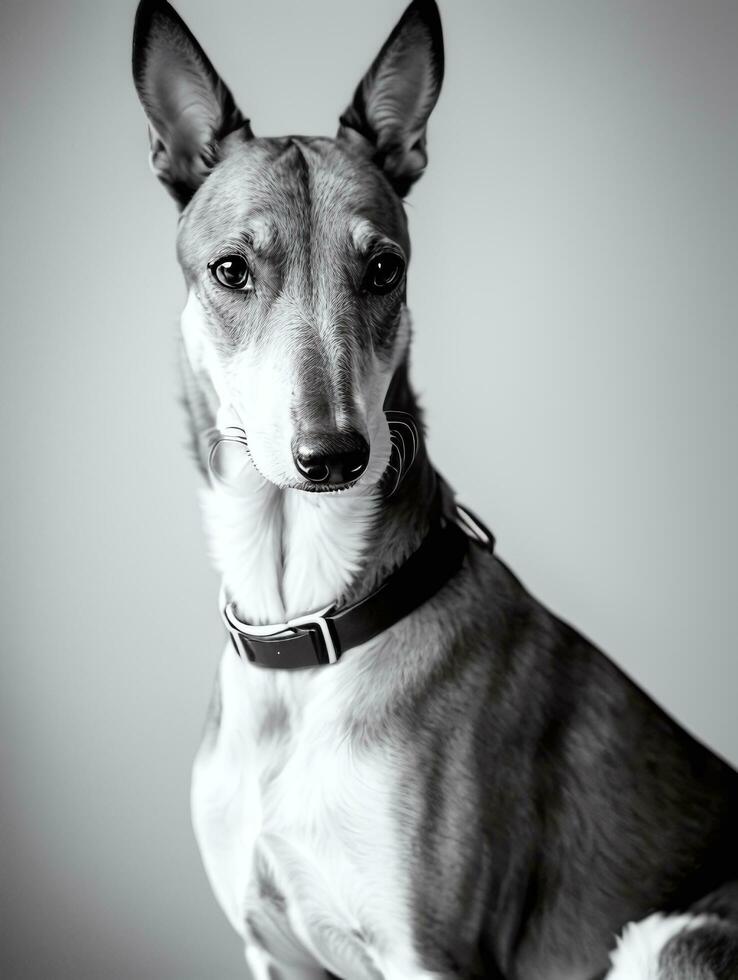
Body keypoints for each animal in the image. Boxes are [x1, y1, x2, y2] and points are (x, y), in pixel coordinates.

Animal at [132, 1, 736, 980]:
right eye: (231, 271)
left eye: (384, 270)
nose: (334, 455)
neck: (306, 621)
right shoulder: (272, 952)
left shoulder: (431, 954)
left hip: (670, 938)